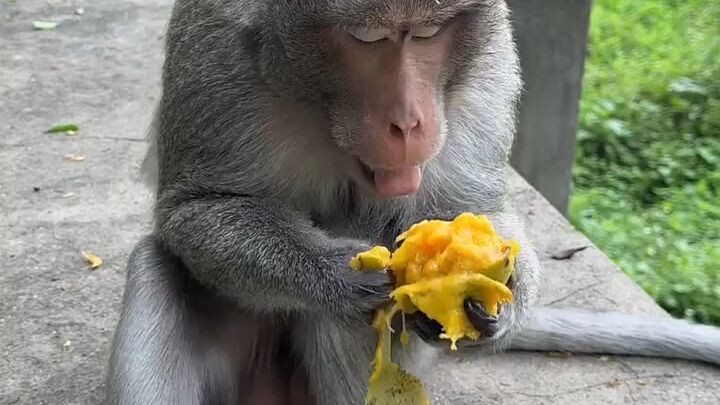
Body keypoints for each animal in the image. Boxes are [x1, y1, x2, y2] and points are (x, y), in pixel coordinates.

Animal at [104, 0, 720, 404]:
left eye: (427, 34)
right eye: (369, 40)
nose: (408, 122)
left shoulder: (489, 63)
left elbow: (477, 204)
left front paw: (504, 298)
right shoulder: (214, 52)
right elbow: (198, 207)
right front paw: (336, 274)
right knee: (159, 264)